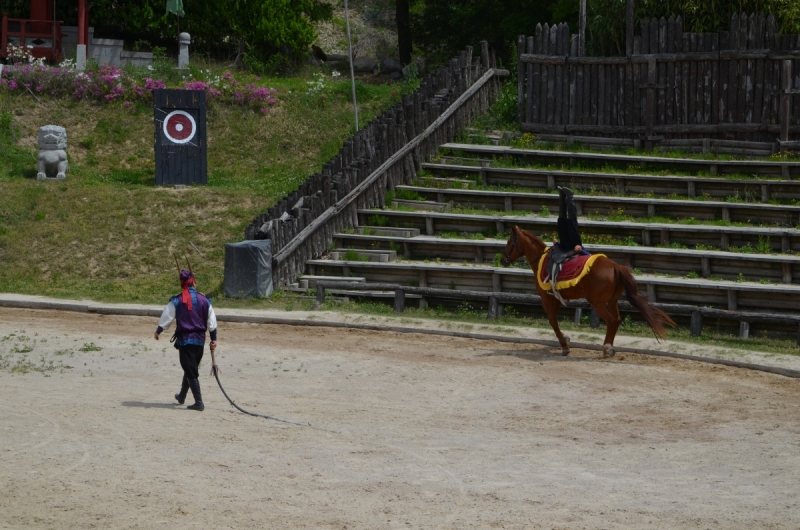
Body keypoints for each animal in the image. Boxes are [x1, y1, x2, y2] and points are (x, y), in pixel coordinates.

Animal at [500, 225, 676, 356]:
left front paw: (565, 346)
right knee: (617, 319)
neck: (542, 261)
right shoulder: (555, 298)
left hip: (597, 303)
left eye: (509, 242)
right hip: (612, 300)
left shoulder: (547, 298)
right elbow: (554, 321)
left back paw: (607, 348)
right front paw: (566, 339)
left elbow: (553, 322)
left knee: (611, 320)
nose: (502, 260)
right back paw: (608, 346)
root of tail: (615, 266)